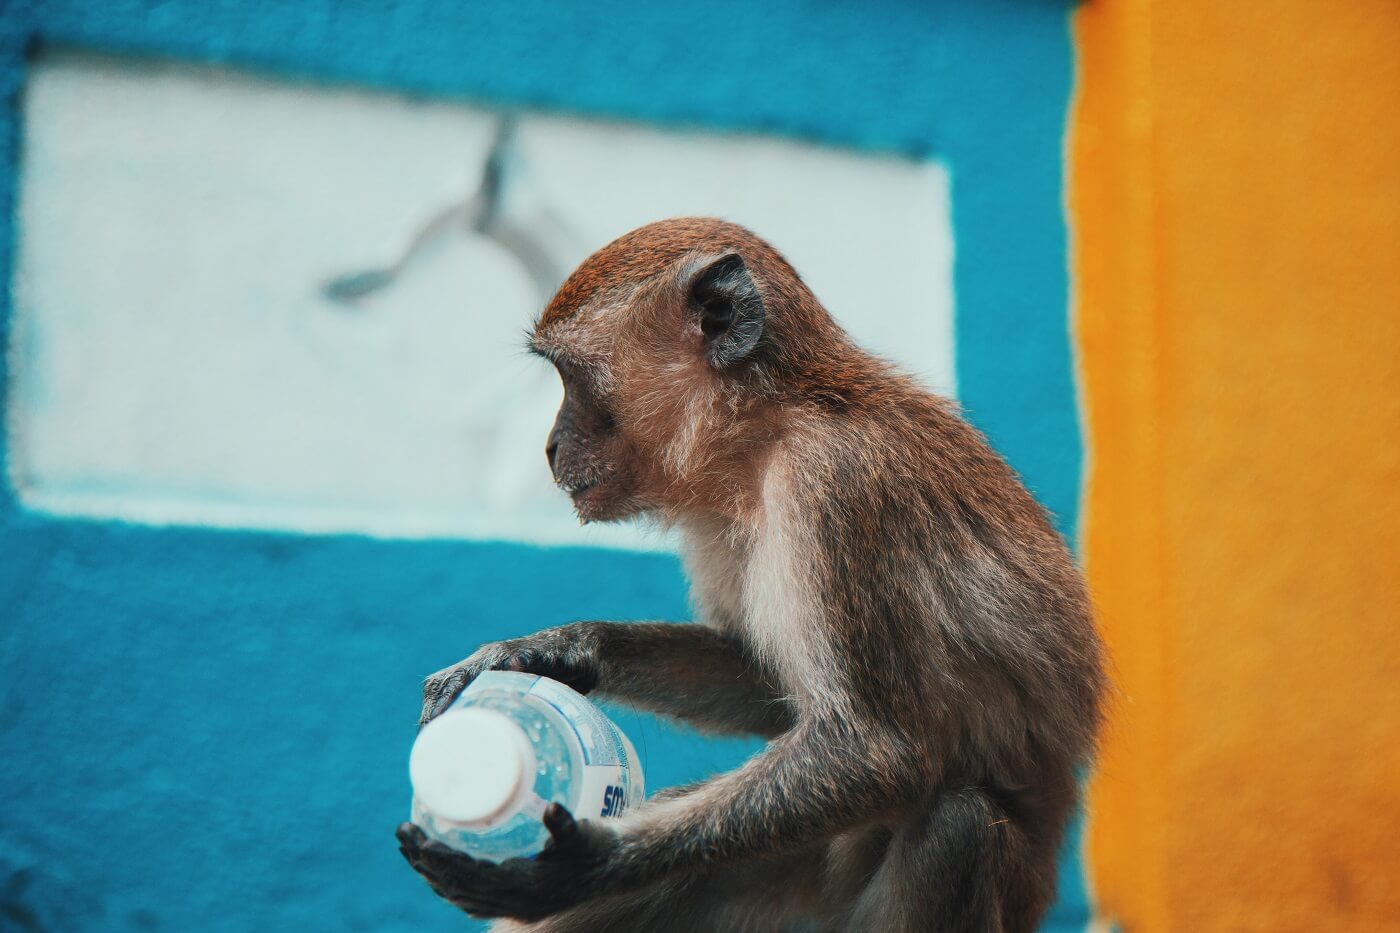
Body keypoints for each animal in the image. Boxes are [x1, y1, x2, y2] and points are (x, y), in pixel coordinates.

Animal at [396, 217, 1106, 932]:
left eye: (571, 377)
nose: (549, 447)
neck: (767, 430)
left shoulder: (835, 484)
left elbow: (878, 751)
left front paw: (587, 864)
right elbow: (764, 689)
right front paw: (556, 650)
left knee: (958, 825)